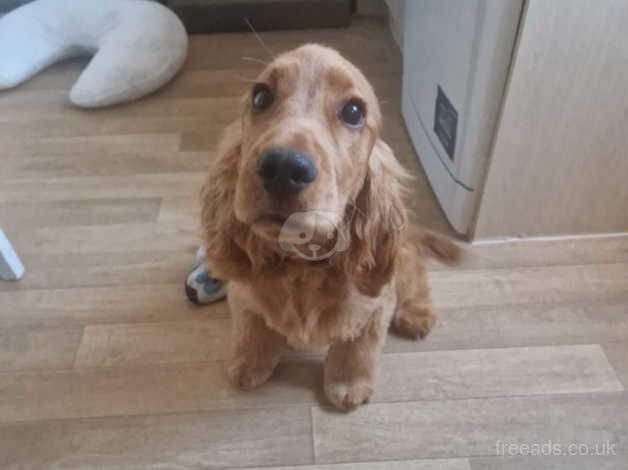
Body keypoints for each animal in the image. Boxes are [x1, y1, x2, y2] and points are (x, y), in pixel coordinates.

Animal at [202, 44, 462, 412]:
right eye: (261, 96)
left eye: (353, 111)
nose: (283, 167)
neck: (301, 265)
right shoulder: (243, 294)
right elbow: (250, 327)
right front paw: (248, 363)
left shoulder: (373, 308)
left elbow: (357, 348)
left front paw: (348, 384)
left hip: (401, 264)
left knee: (415, 275)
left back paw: (416, 314)